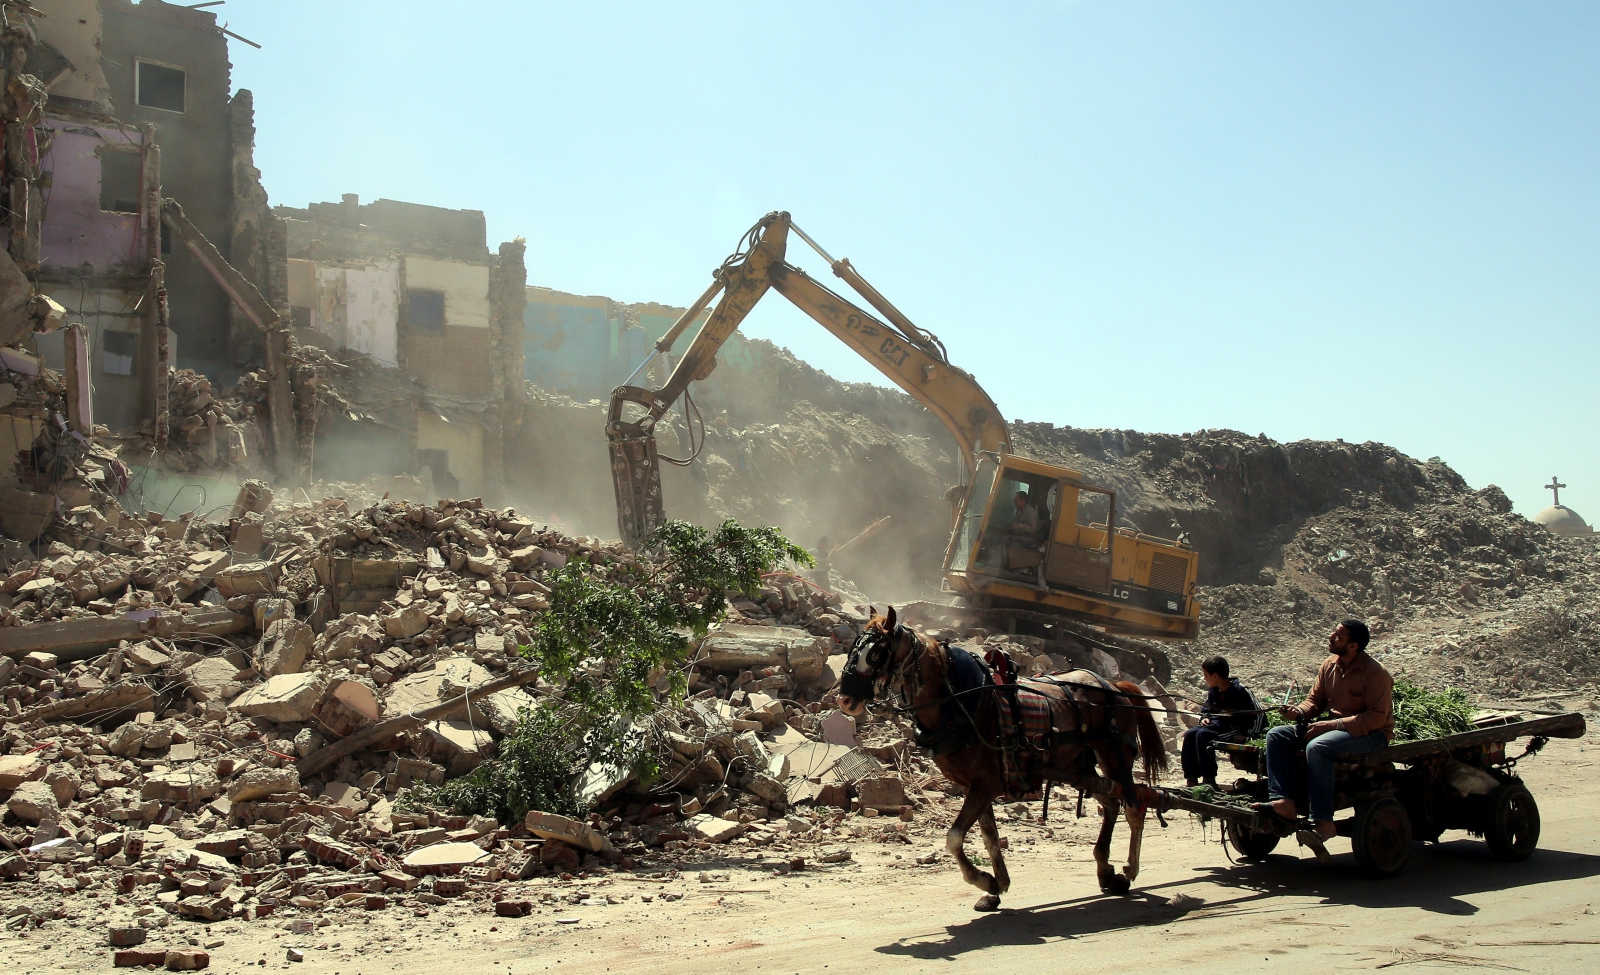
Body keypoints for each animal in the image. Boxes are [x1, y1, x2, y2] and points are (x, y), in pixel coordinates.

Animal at [838, 605, 1164, 909]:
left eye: (876, 652)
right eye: (854, 647)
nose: (845, 700)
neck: (960, 702)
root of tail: (1114, 685)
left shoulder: (985, 785)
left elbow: (955, 837)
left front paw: (983, 880)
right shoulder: (974, 786)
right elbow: (989, 837)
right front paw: (997, 886)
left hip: (1113, 754)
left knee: (1134, 806)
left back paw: (1127, 872)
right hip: (1079, 765)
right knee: (1111, 803)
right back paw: (1105, 869)